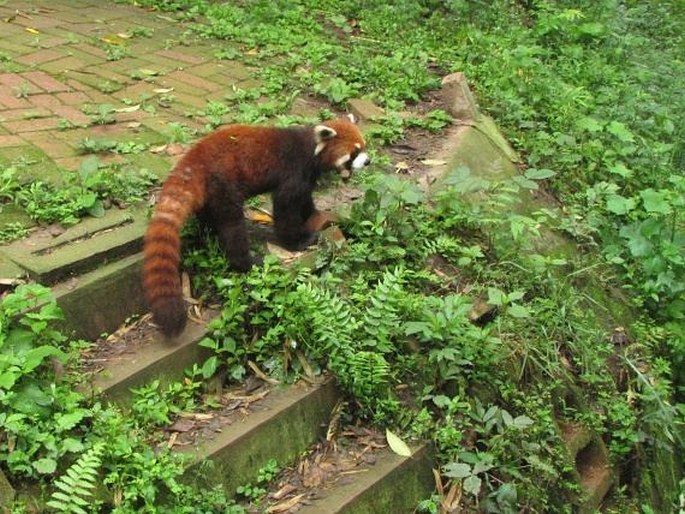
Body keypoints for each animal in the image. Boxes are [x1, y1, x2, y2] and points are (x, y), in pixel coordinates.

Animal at [142, 115, 372, 336]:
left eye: (363, 146)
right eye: (354, 152)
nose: (368, 161)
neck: (311, 150)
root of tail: (195, 157)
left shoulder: (307, 178)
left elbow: (306, 200)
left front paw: (319, 217)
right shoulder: (293, 171)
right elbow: (286, 207)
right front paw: (299, 241)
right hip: (226, 182)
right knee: (232, 226)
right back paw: (246, 261)